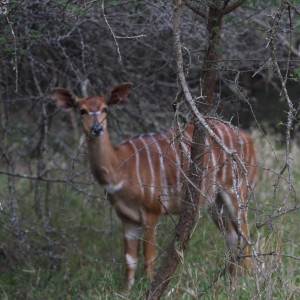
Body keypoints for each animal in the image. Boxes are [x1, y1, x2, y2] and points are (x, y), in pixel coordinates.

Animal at [51, 83, 258, 290]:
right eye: (82, 110)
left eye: (105, 109)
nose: (97, 128)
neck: (121, 168)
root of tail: (249, 139)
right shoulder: (127, 217)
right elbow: (130, 260)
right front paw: (127, 291)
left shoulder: (152, 212)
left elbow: (148, 257)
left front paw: (148, 287)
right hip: (215, 202)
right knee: (233, 237)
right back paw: (232, 284)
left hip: (236, 192)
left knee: (245, 236)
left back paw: (247, 281)